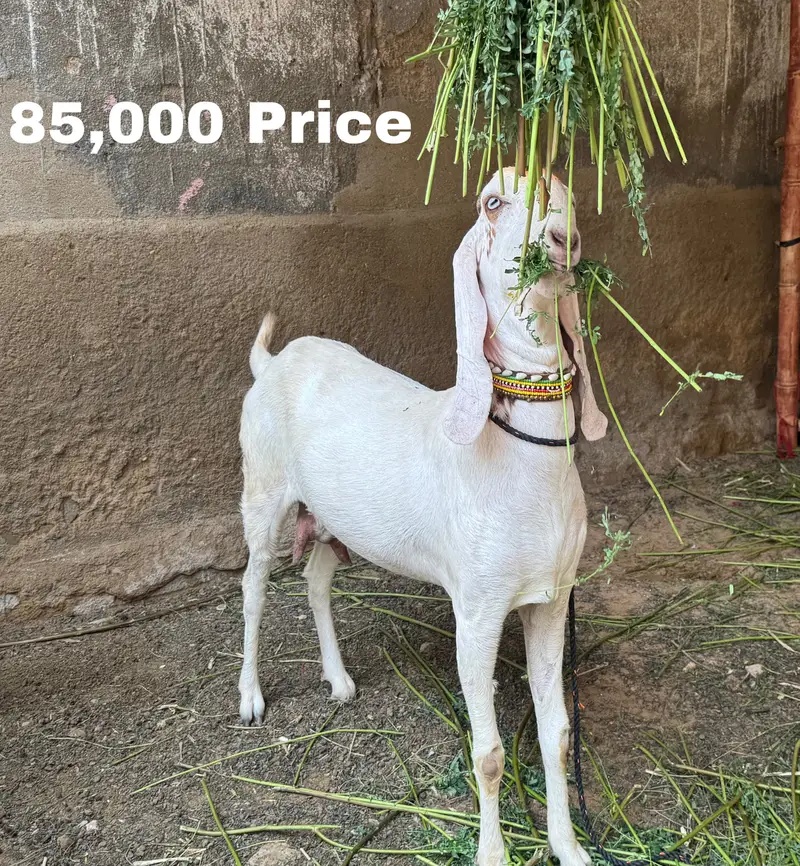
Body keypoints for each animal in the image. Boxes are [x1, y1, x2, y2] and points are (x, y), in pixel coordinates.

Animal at [237, 168, 607, 866]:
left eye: (562, 187)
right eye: (492, 200)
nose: (557, 232)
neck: (522, 459)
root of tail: (271, 361)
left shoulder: (550, 600)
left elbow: (559, 734)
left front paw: (570, 848)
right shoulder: (479, 609)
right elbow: (488, 755)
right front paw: (492, 854)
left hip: (335, 517)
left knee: (317, 578)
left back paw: (339, 681)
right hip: (263, 491)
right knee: (253, 586)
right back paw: (250, 697)